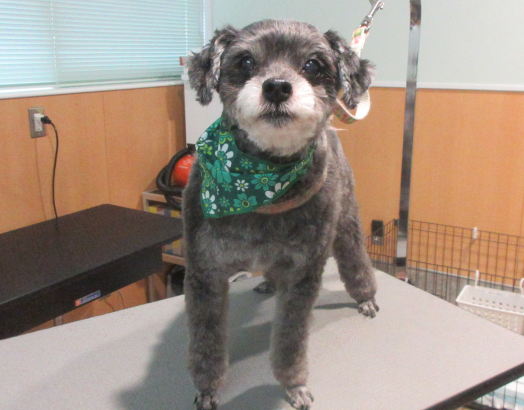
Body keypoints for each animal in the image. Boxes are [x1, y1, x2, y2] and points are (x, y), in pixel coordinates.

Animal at [183, 19, 379, 410]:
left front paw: (293, 384)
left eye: (313, 66)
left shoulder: (303, 273)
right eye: (245, 62)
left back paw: (365, 296)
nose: (276, 86)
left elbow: (290, 339)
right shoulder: (205, 272)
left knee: (354, 258)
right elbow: (206, 342)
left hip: (346, 221)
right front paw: (208, 387)